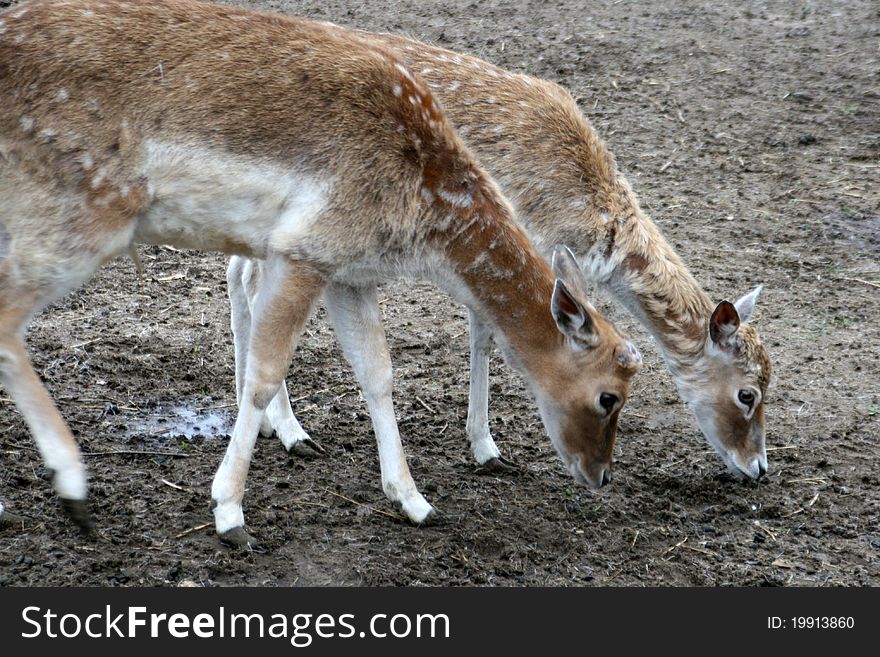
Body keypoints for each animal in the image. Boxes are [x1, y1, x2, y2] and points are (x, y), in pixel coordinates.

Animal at [0, 0, 640, 544]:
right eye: (608, 396)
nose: (602, 476)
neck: (421, 213)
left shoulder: (349, 273)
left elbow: (379, 374)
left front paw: (415, 502)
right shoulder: (304, 248)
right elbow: (262, 377)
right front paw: (229, 513)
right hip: (85, 210)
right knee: (8, 320)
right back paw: (74, 490)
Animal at [239, 24, 768, 482]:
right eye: (748, 394)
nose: (759, 468)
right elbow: (487, 336)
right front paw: (486, 448)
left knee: (240, 273)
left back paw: (264, 421)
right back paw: (292, 432)